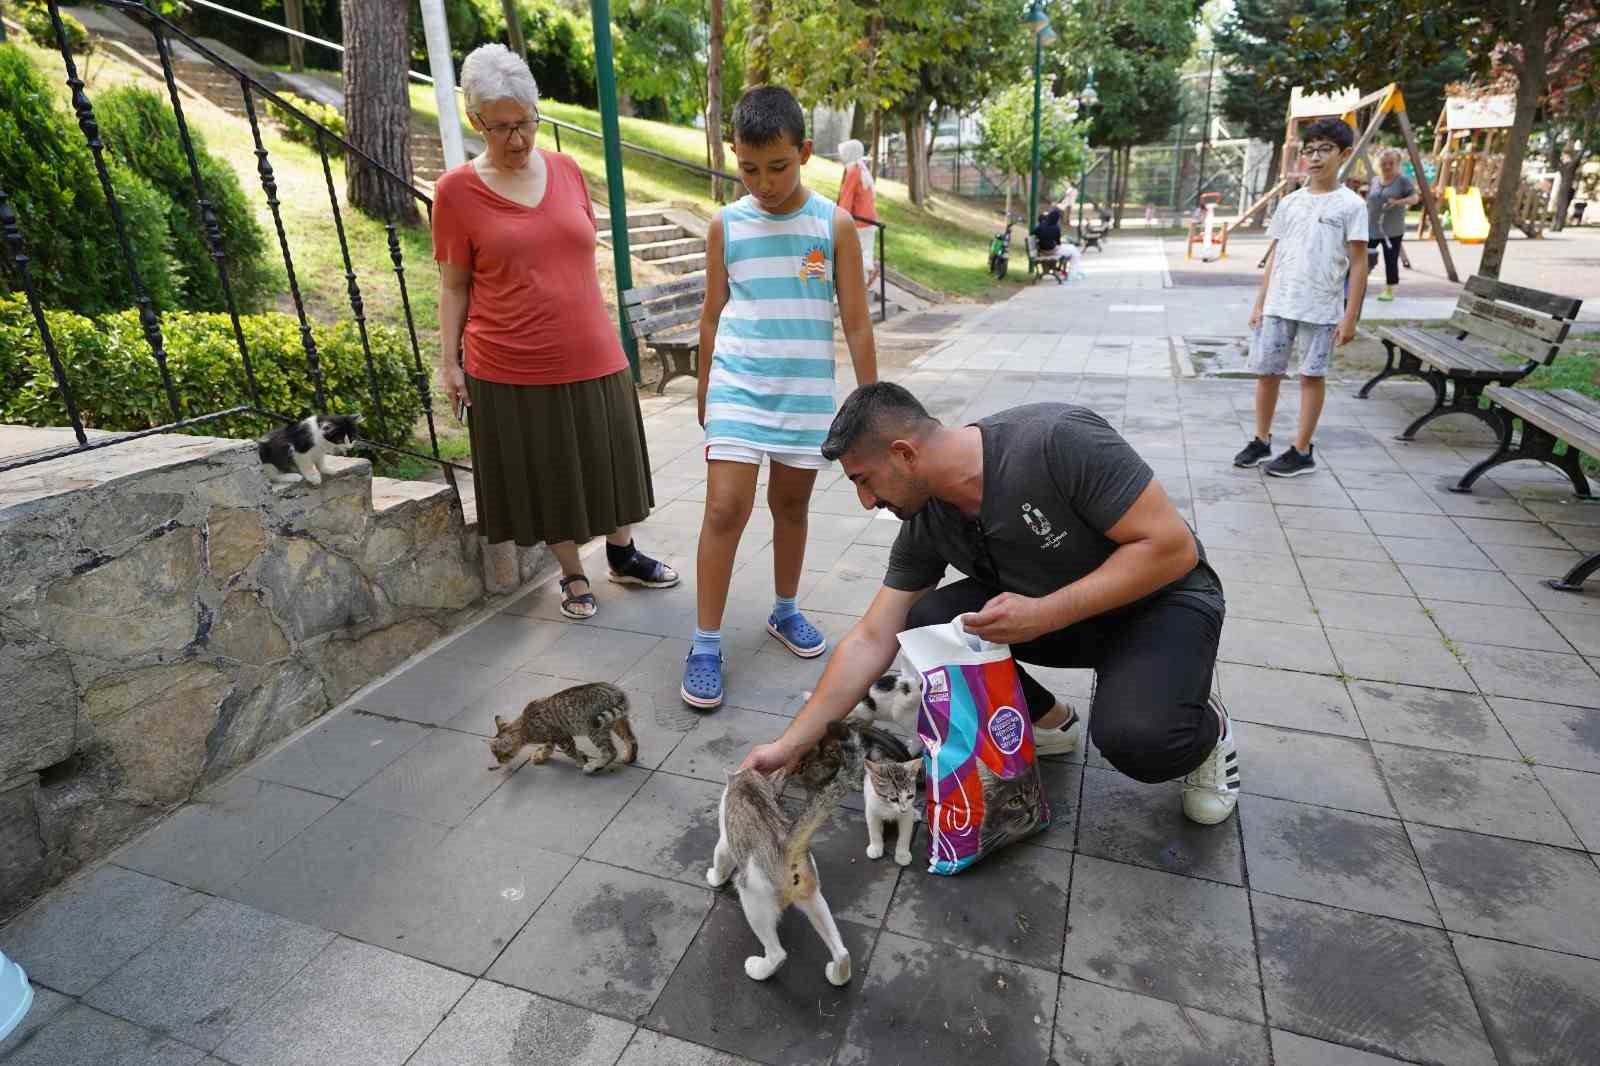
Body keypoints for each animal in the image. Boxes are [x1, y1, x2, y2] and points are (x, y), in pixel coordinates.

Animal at [486, 681, 636, 771]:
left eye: (498, 754)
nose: (499, 761)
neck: (525, 726)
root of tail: (616, 691)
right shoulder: (552, 737)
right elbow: (548, 748)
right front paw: (541, 756)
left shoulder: (562, 737)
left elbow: (570, 752)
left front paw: (581, 761)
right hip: (618, 721)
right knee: (631, 739)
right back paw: (630, 757)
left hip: (595, 728)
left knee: (611, 751)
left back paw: (594, 766)